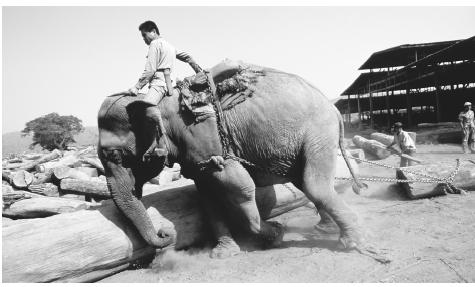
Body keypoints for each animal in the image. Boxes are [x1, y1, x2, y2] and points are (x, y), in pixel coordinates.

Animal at [97, 62, 368, 260]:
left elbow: (241, 187)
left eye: (115, 155)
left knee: (314, 185)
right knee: (306, 183)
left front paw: (275, 233)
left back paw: (351, 242)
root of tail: (335, 108)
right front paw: (223, 253)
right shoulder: (196, 157)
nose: (165, 232)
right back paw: (327, 230)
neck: (157, 103)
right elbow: (208, 198)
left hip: (318, 132)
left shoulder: (204, 136)